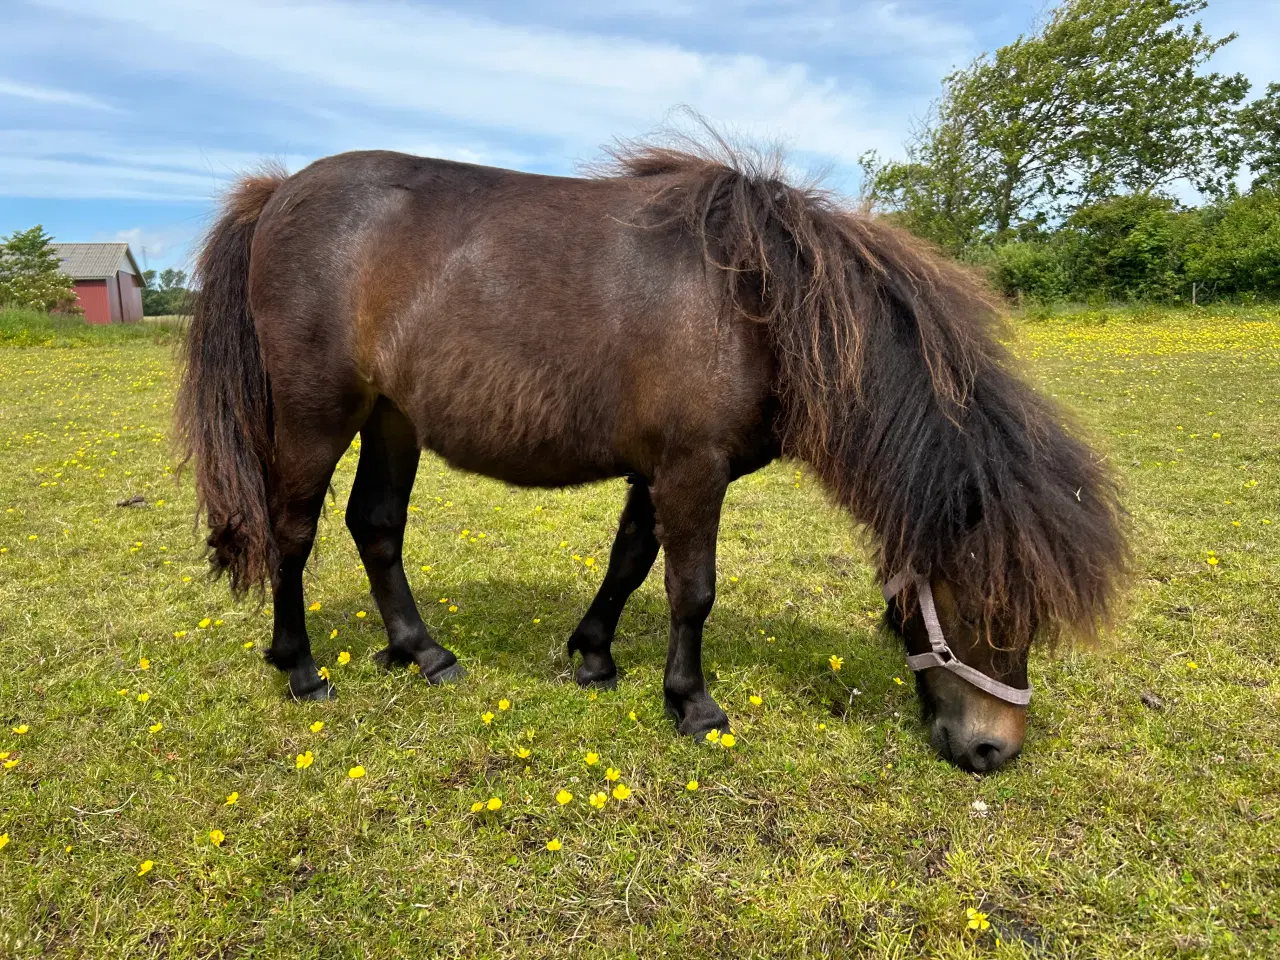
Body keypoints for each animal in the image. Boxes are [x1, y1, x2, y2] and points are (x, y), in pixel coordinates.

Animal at [177, 135, 1121, 773]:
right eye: (991, 610)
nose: (994, 751)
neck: (762, 306)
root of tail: (279, 193)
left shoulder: (659, 469)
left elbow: (630, 560)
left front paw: (595, 658)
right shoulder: (694, 469)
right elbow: (690, 589)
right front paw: (693, 705)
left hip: (393, 419)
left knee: (376, 526)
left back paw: (423, 653)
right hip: (317, 416)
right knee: (293, 532)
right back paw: (300, 668)